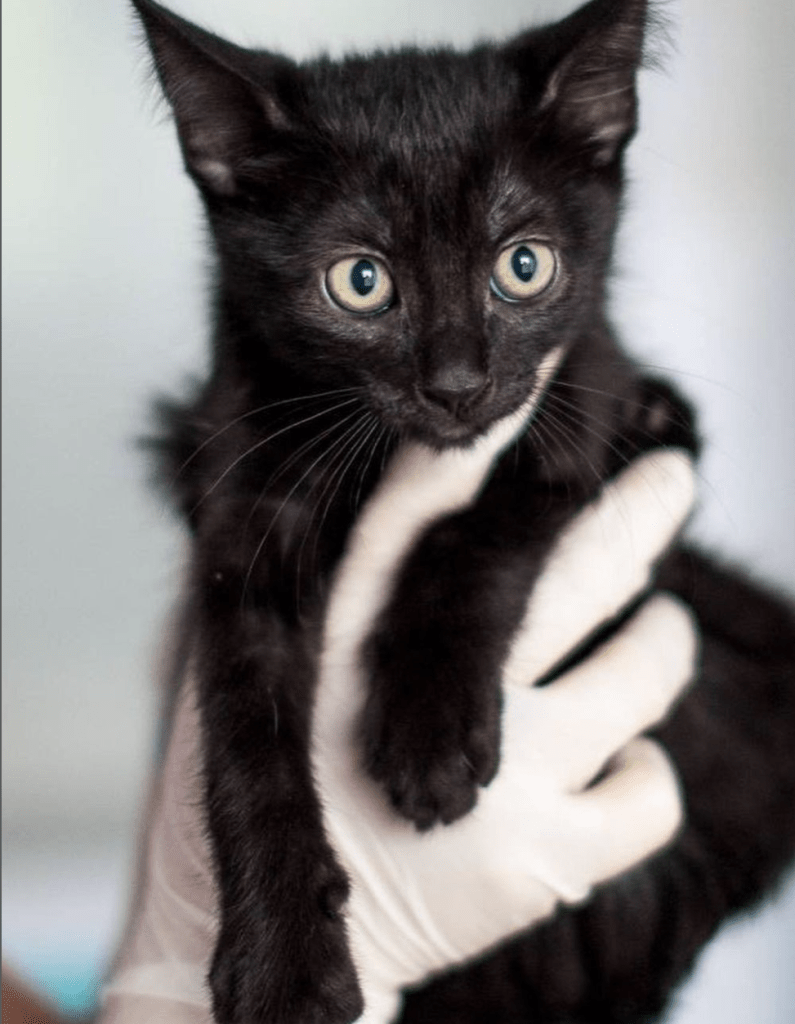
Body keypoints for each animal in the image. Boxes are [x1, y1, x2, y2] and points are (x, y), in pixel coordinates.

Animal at [132, 0, 795, 1019]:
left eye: (523, 266)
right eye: (360, 282)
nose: (456, 385)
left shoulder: (617, 402)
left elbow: (481, 522)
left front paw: (428, 732)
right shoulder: (237, 495)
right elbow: (244, 727)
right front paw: (284, 963)